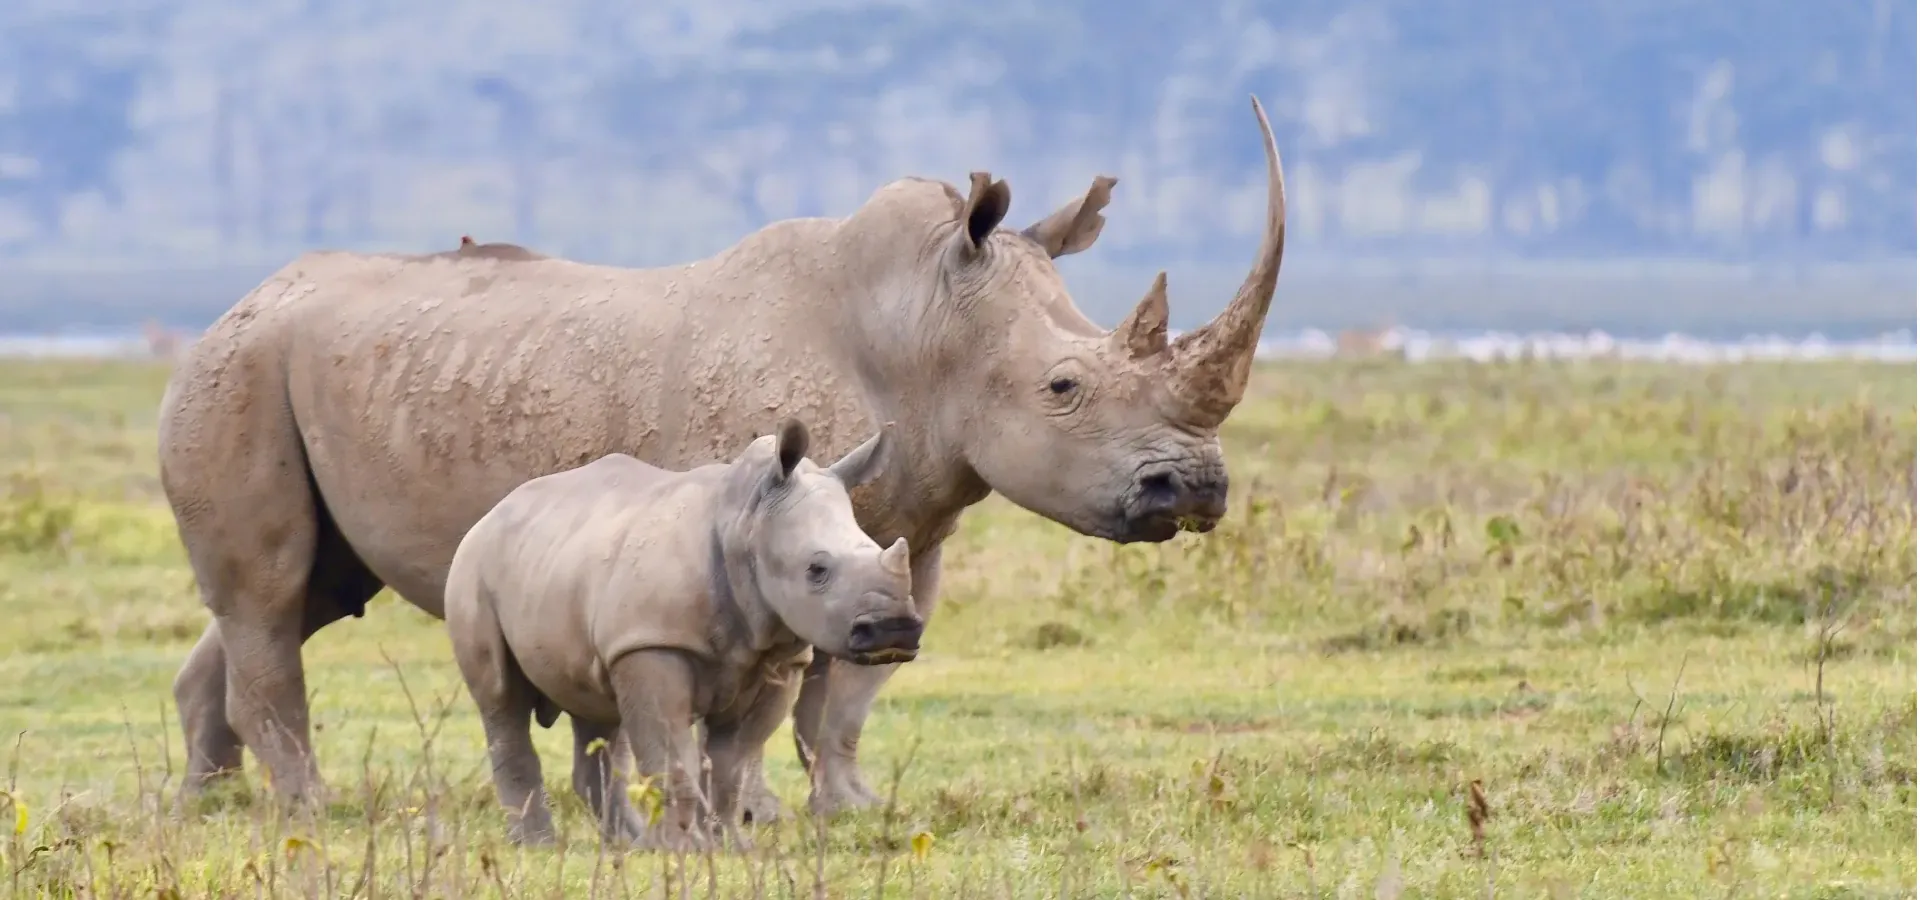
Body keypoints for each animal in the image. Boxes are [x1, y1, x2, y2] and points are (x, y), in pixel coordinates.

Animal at [446, 419, 917, 848]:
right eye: (816, 569)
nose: (894, 628)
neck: (745, 523)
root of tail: (494, 510)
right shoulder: (654, 644)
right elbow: (673, 756)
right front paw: (683, 850)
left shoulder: (778, 657)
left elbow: (733, 762)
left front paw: (729, 846)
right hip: (474, 565)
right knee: (501, 698)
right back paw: (538, 845)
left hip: (566, 565)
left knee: (598, 713)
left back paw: (630, 844)